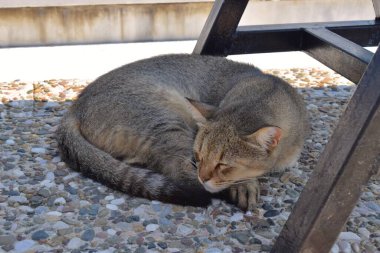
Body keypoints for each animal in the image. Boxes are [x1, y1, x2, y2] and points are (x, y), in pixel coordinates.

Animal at [56, 53, 308, 211]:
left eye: (223, 164)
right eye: (198, 156)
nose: (204, 174)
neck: (268, 90)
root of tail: (75, 107)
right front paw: (244, 185)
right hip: (166, 121)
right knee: (179, 173)